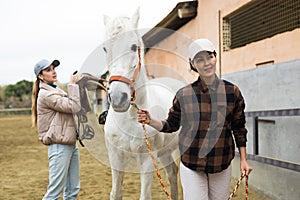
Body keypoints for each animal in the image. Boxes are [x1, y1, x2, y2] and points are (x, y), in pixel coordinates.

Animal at [102, 7, 183, 200]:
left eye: (133, 46)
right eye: (105, 48)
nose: (118, 97)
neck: (130, 119)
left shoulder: (147, 160)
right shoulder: (116, 157)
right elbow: (115, 193)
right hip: (165, 152)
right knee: (172, 172)